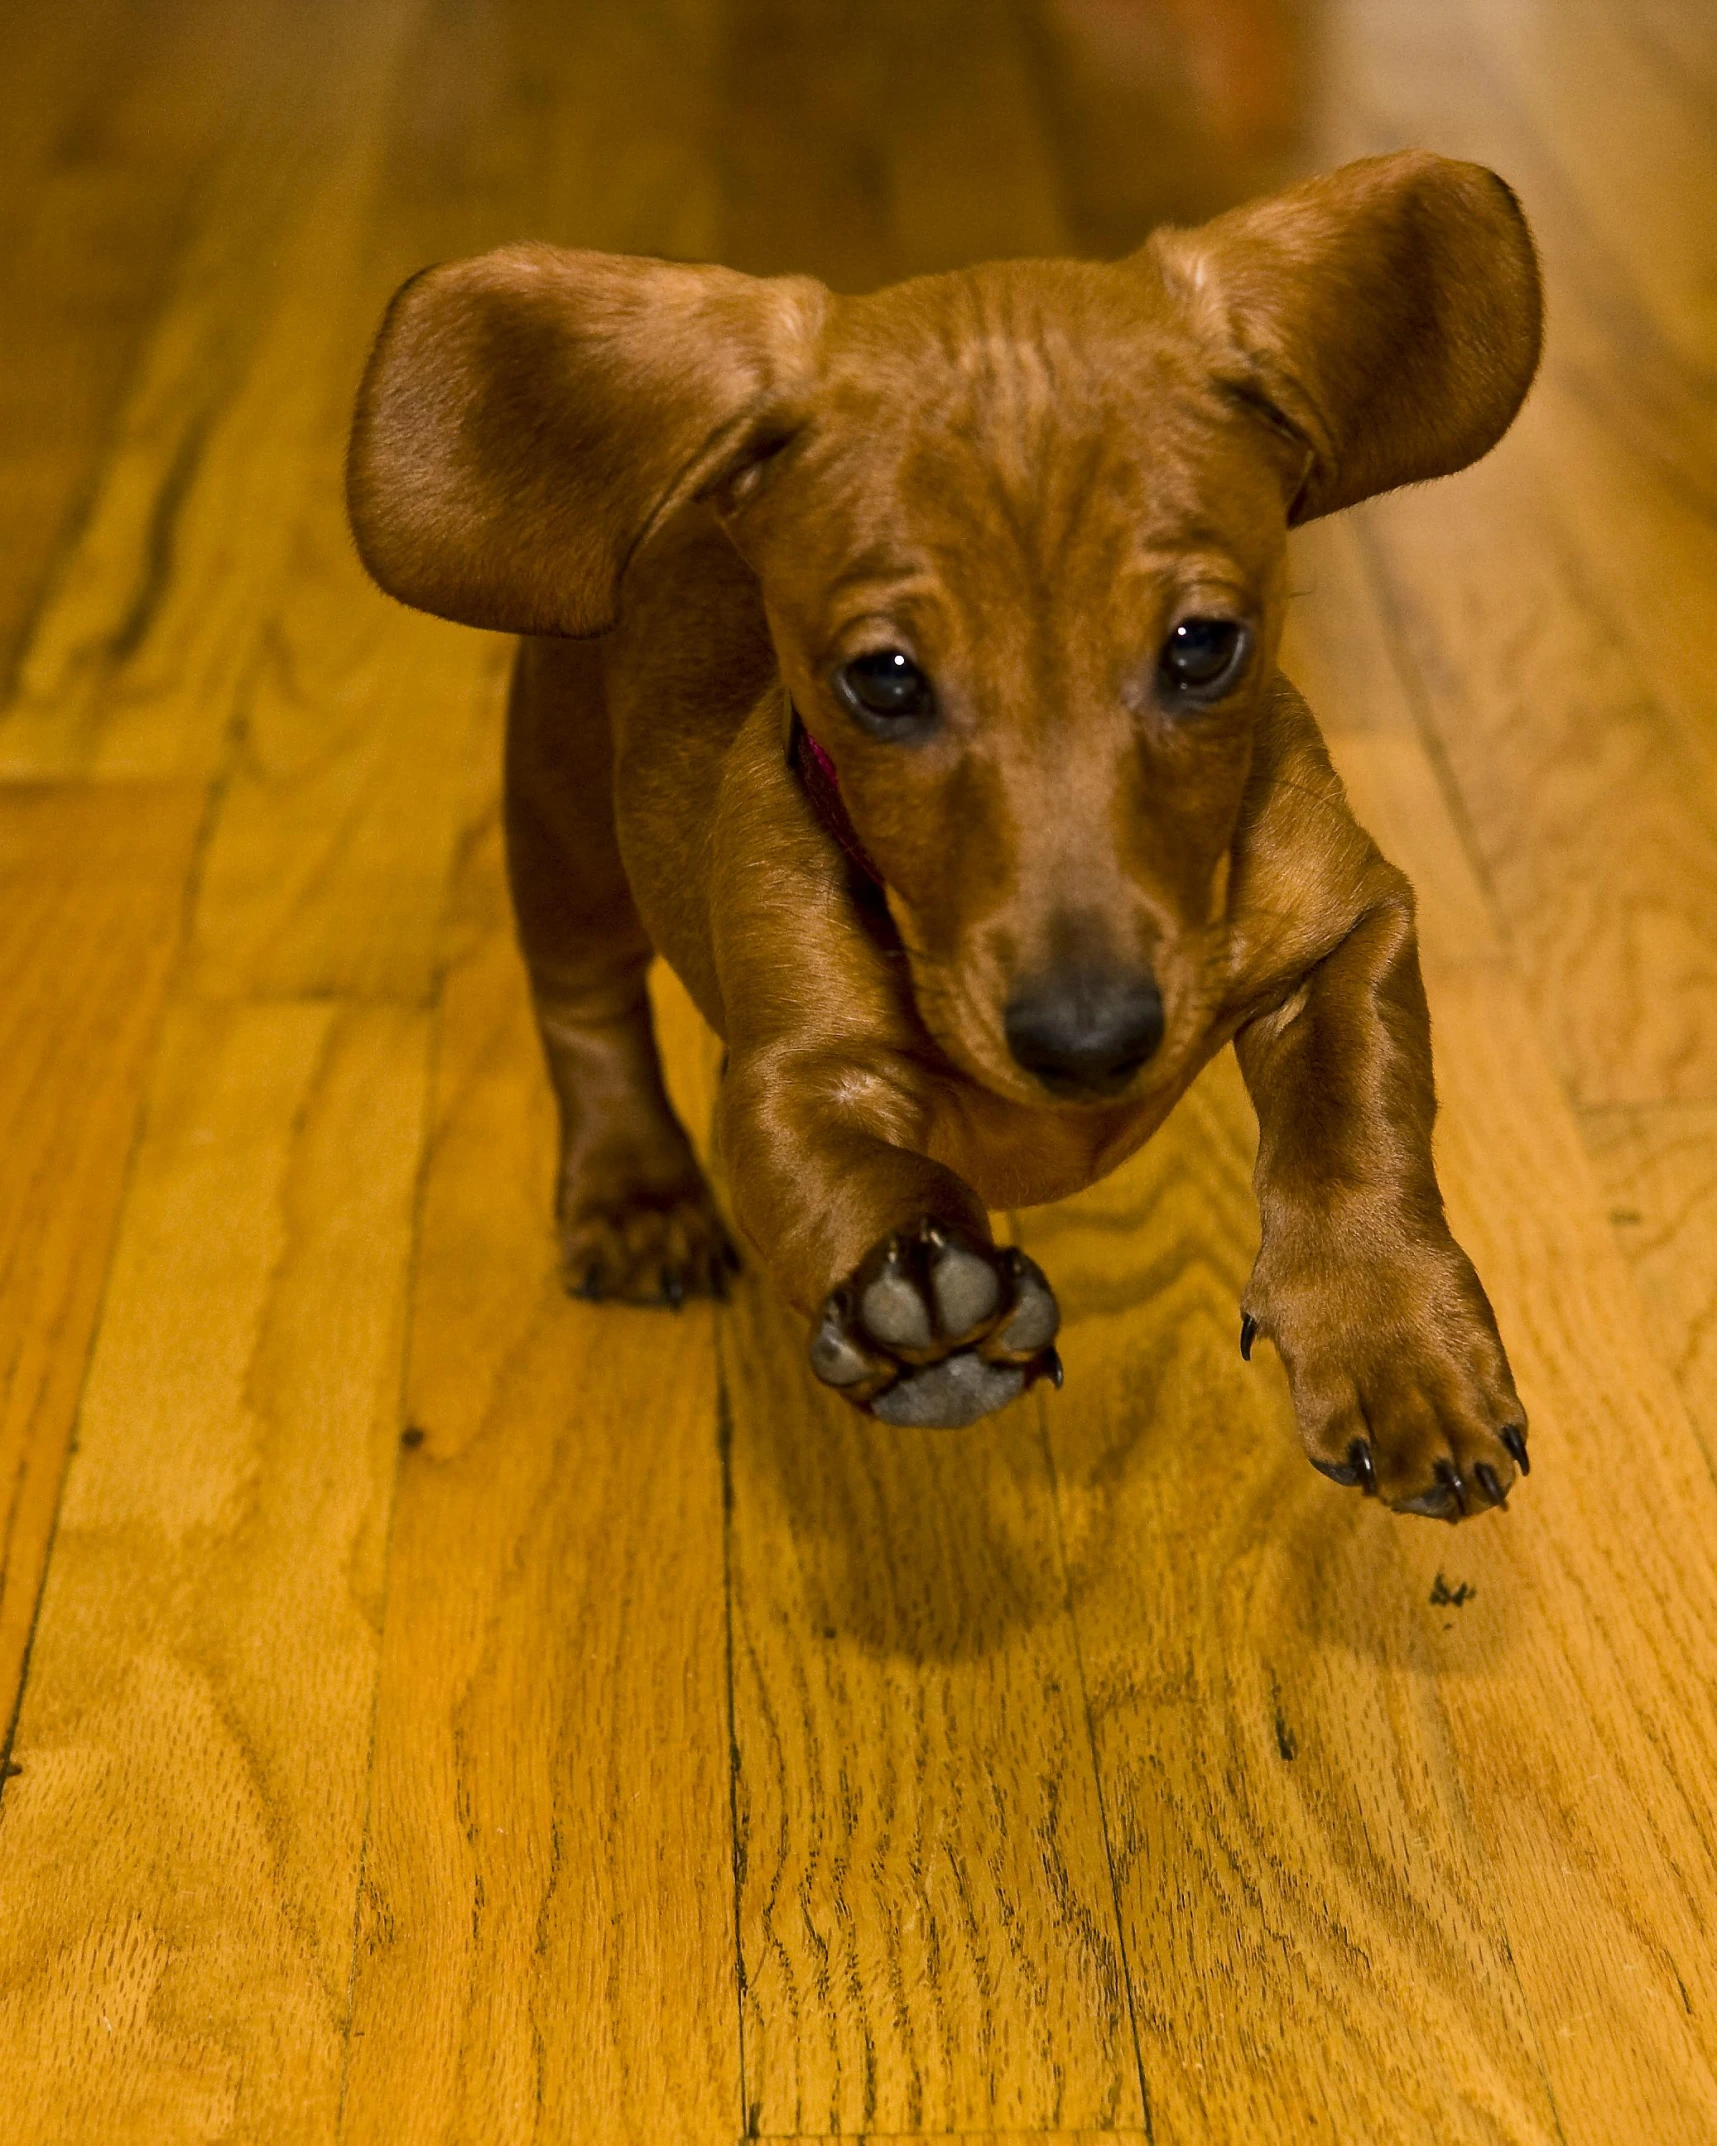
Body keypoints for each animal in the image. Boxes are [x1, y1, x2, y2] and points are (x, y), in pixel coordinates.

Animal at [345, 151, 1545, 1519]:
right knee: (584, 1010)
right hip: (562, 831)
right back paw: (635, 1189)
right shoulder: (790, 1082)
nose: (1089, 1041)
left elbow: (1354, 1125)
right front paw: (917, 1314)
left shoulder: (1348, 930)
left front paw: (1397, 1347)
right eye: (883, 680)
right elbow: (865, 1181)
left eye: (1202, 646)